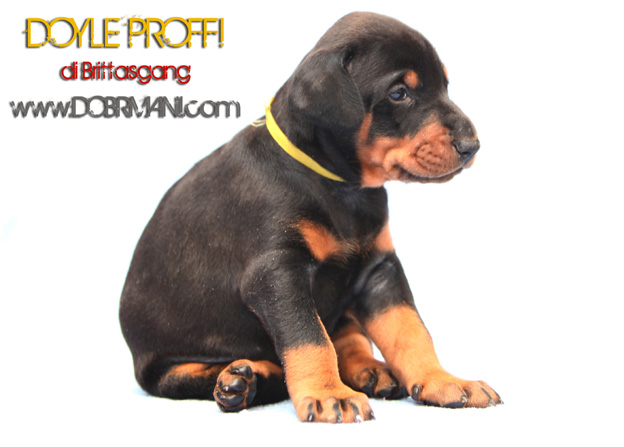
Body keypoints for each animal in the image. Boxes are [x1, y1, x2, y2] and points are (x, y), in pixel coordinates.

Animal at [119, 11, 501, 423]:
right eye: (399, 93)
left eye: (445, 86)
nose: (472, 146)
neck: (341, 188)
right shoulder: (277, 273)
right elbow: (309, 336)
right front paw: (328, 394)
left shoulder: (380, 269)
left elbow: (410, 329)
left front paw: (443, 381)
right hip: (161, 361)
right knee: (181, 376)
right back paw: (242, 380)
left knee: (349, 336)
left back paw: (368, 371)